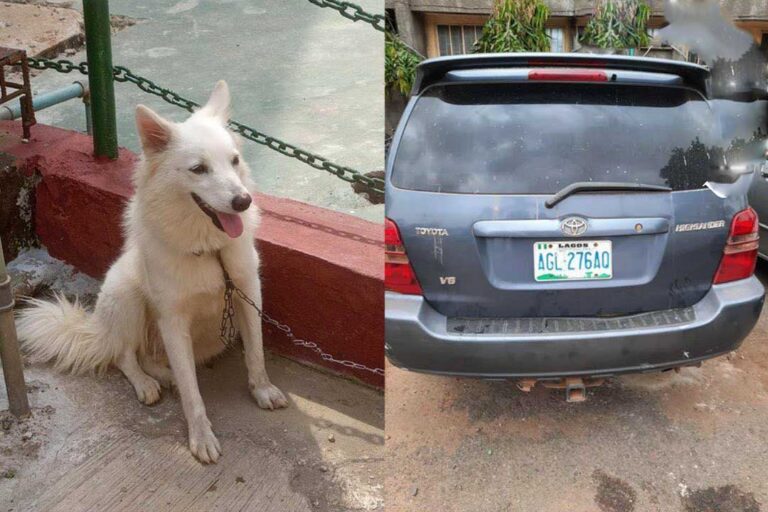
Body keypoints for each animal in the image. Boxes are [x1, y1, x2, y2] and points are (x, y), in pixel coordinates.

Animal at [16, 81, 286, 464]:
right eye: (199, 169)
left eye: (234, 161)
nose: (243, 201)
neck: (208, 248)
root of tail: (98, 329)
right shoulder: (172, 320)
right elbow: (192, 393)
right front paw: (201, 437)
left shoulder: (248, 293)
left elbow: (256, 354)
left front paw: (262, 390)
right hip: (126, 295)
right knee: (124, 355)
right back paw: (147, 383)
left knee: (150, 358)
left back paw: (164, 375)